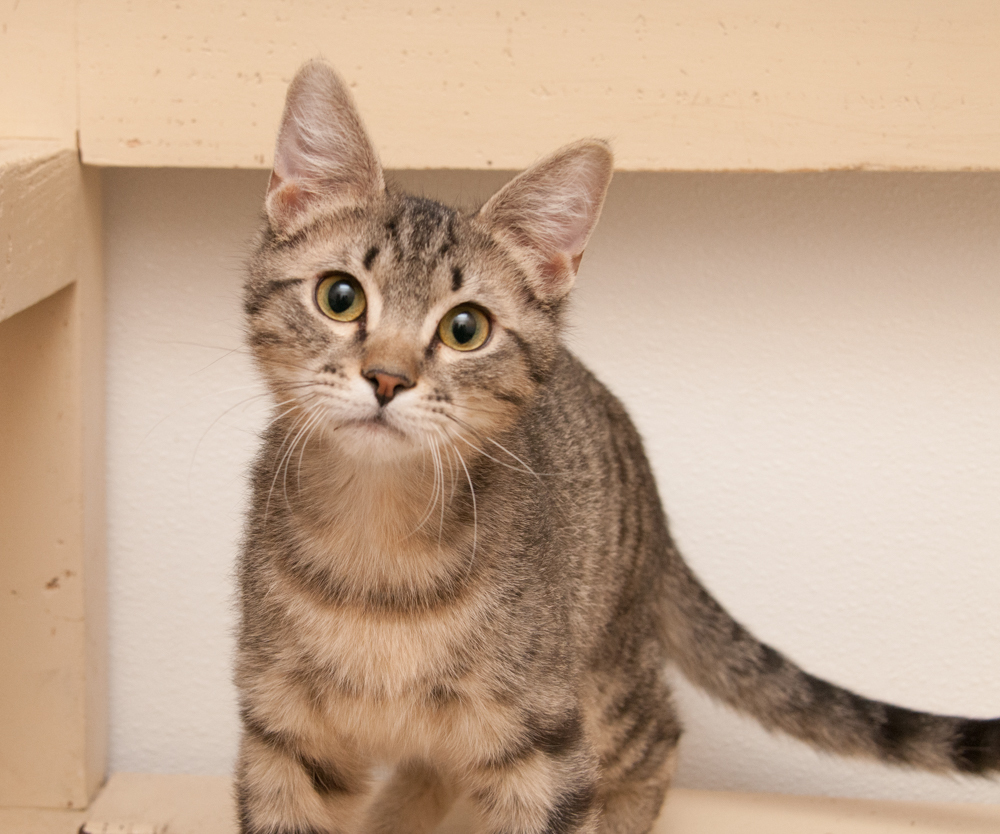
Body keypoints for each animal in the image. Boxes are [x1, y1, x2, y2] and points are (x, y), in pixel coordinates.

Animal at [236, 60, 1000, 832]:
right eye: (340, 297)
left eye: (464, 329)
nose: (388, 378)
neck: (377, 551)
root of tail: (654, 510)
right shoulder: (282, 734)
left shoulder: (542, 739)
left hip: (603, 678)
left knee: (659, 735)